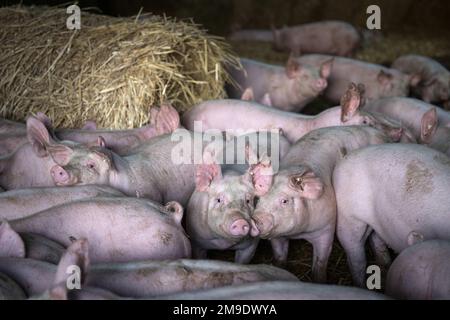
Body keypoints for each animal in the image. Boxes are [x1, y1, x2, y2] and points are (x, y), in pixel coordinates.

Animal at [250, 125, 398, 282]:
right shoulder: (277, 237)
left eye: (285, 200)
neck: (299, 233)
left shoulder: (326, 229)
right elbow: (279, 258)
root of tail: (379, 132)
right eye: (258, 199)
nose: (257, 218)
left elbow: (320, 264)